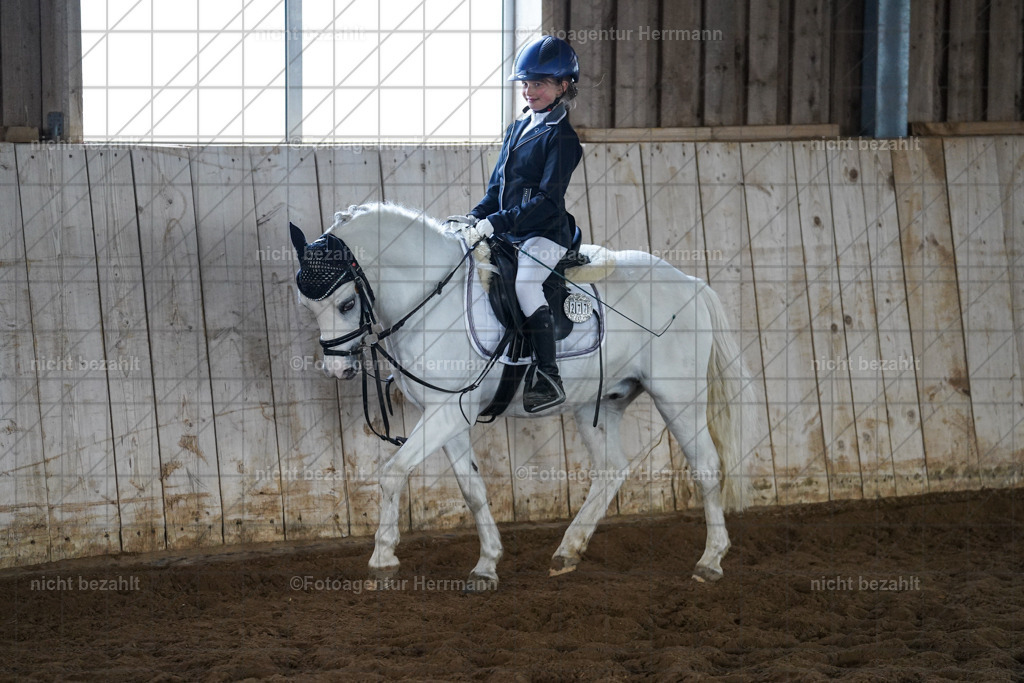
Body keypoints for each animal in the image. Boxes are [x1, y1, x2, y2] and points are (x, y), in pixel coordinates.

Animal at [290, 202, 756, 589]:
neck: (431, 299)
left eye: (346, 304)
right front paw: (486, 565)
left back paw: (710, 562)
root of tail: (690, 283)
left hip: (679, 398)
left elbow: (392, 472)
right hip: (600, 402)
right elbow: (473, 490)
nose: (339, 370)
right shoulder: (448, 416)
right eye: (307, 306)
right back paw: (568, 552)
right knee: (611, 469)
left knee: (707, 467)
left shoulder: (447, 413)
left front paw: (383, 559)